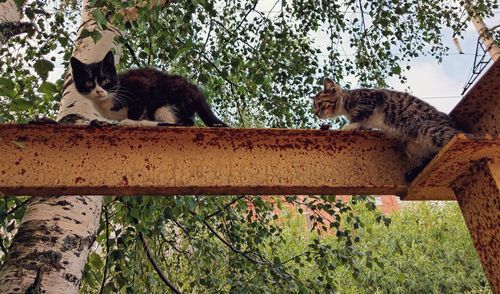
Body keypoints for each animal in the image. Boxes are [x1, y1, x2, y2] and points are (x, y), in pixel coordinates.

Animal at [69, 51, 229, 127]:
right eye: (89, 83)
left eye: (106, 80)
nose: (99, 91)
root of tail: (196, 92)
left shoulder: (140, 84)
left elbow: (135, 111)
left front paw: (130, 121)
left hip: (163, 102)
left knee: (183, 123)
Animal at [312, 77, 460, 180]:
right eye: (315, 107)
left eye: (319, 104)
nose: (316, 113)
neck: (346, 104)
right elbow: (364, 123)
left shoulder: (371, 99)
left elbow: (359, 115)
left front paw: (348, 125)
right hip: (411, 147)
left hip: (430, 131)